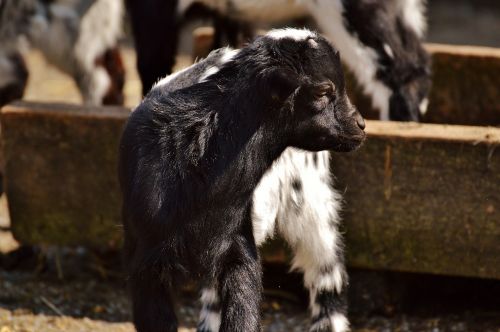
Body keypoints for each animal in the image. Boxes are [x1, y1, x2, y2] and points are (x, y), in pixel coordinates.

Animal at [119, 29, 366, 332]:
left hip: (312, 203)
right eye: (323, 91)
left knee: (326, 273)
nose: (361, 125)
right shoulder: (145, 266)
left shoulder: (238, 247)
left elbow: (243, 313)